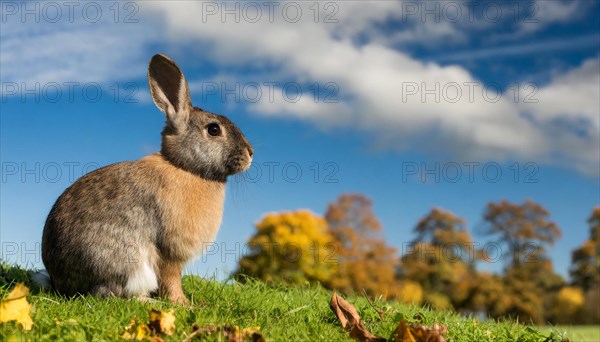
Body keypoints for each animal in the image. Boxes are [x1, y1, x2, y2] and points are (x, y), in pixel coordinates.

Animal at [41, 54, 253, 304]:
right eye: (213, 129)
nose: (250, 153)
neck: (185, 167)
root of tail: (61, 284)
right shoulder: (170, 251)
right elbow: (171, 279)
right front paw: (183, 304)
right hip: (126, 260)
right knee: (111, 293)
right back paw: (149, 301)